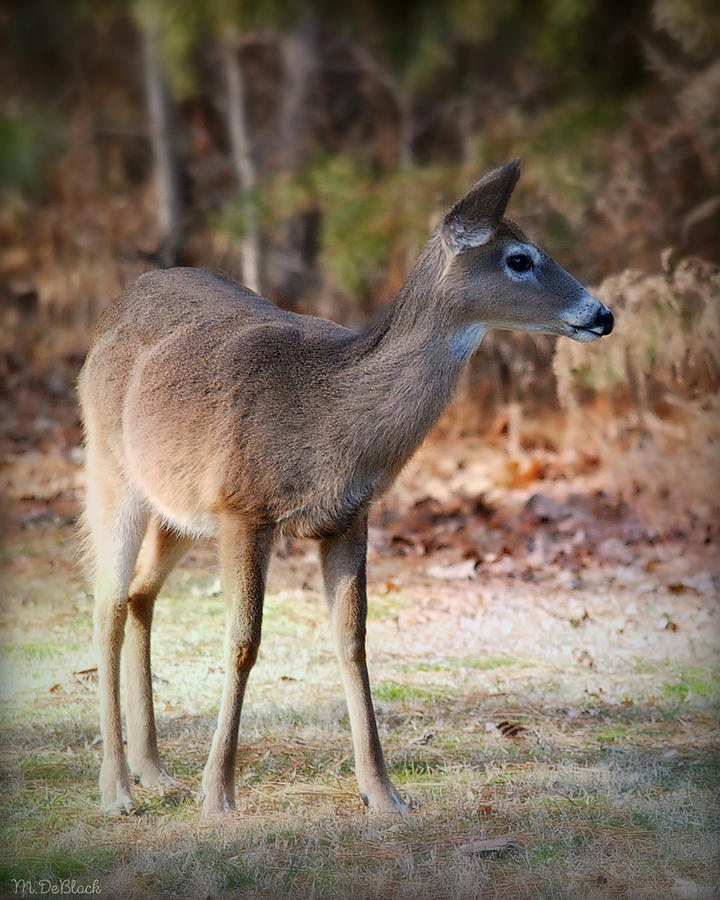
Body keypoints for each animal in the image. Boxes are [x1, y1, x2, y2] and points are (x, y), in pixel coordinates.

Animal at [79, 158, 612, 820]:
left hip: (178, 506)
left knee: (139, 595)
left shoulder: (349, 515)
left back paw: (155, 771)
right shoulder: (245, 507)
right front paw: (219, 793)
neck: (332, 418)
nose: (602, 314)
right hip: (109, 464)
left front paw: (382, 792)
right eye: (519, 258)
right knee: (107, 603)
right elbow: (243, 641)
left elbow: (352, 642)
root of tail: (116, 305)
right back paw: (118, 789)